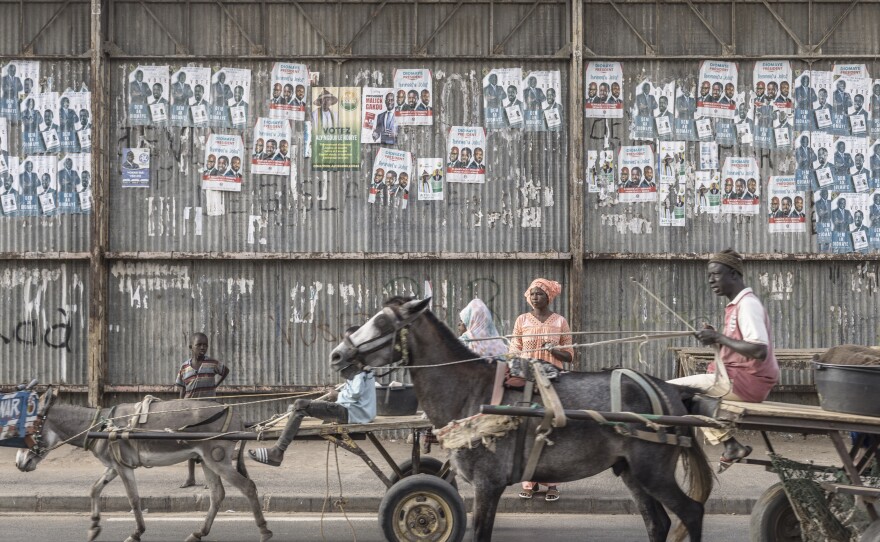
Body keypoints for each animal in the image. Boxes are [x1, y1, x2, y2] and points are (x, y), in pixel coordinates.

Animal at [332, 300, 716, 540]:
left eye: (383, 322)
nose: (338, 354)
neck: (471, 391)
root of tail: (670, 389)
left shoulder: (488, 484)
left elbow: (481, 534)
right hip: (632, 472)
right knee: (659, 523)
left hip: (654, 471)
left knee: (691, 512)